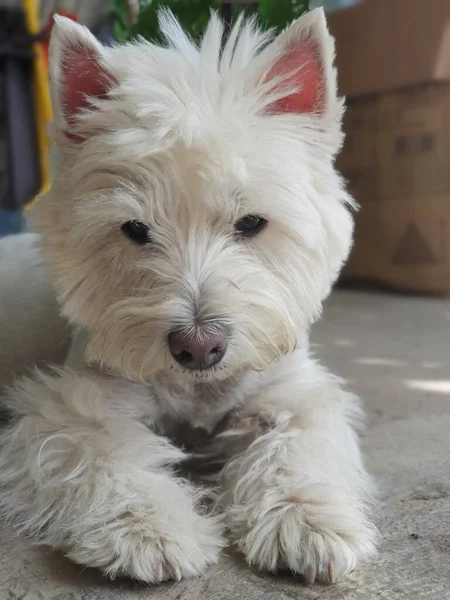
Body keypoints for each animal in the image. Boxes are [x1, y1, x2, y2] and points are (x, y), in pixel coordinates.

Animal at [0, 7, 376, 584]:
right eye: (135, 229)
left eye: (251, 222)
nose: (199, 347)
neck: (198, 391)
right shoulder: (73, 402)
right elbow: (106, 452)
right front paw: (147, 529)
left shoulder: (290, 391)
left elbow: (294, 444)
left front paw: (306, 519)